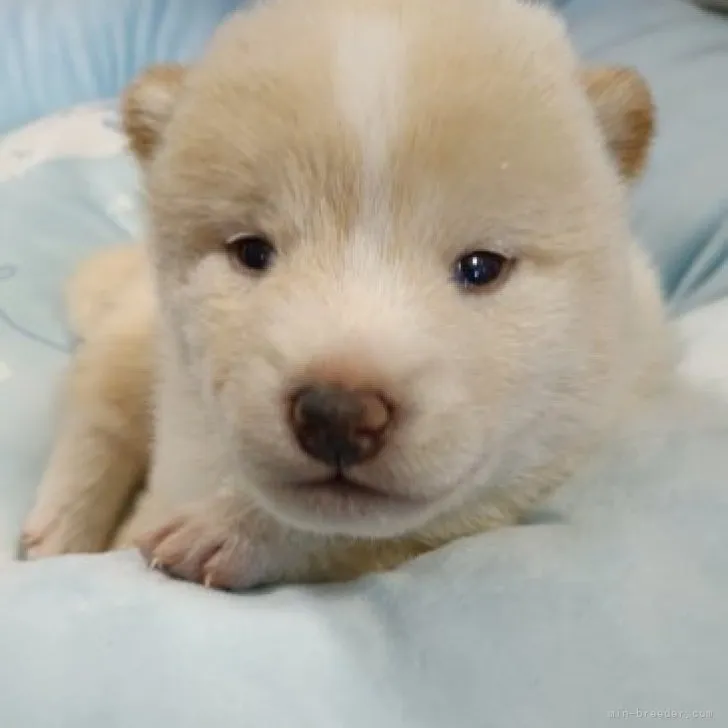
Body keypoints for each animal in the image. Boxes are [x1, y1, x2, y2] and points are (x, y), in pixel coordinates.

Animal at [21, 0, 672, 588]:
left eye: (481, 267)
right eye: (252, 252)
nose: (337, 414)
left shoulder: (568, 440)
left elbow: (397, 526)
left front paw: (233, 529)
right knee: (99, 405)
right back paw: (57, 525)